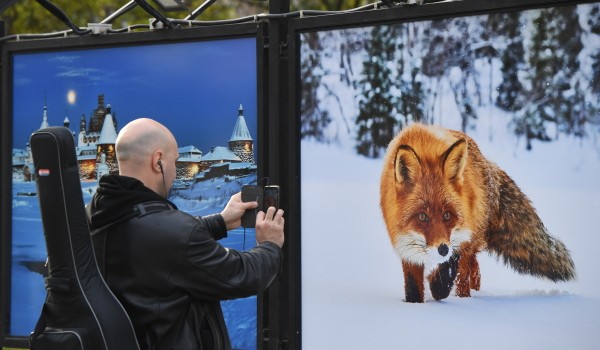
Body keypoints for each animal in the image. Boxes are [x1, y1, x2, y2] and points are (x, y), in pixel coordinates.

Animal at [380, 123, 576, 304]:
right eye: (422, 216)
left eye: (447, 215)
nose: (442, 250)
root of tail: (488, 163)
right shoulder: (406, 246)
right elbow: (413, 289)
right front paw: (415, 305)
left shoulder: (461, 237)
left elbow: (447, 274)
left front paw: (436, 285)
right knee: (474, 268)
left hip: (472, 237)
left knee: (464, 275)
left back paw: (464, 297)